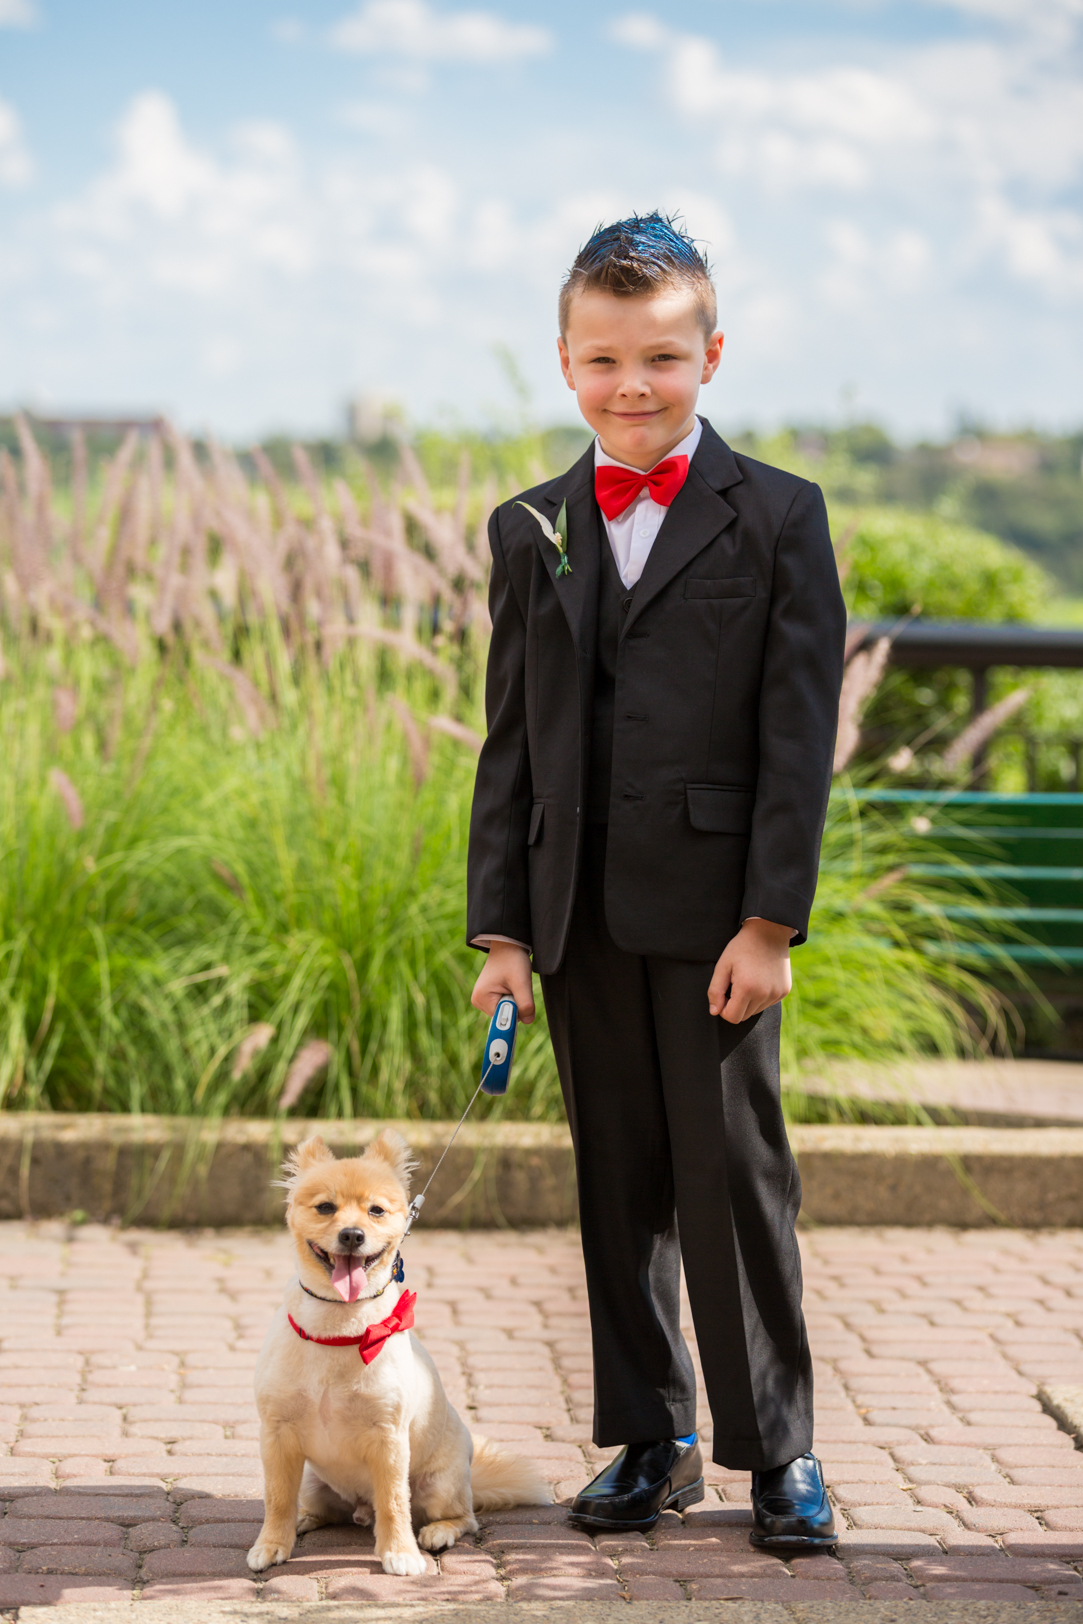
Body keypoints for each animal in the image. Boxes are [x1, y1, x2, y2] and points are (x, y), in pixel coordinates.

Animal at [246, 1130, 552, 1572]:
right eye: (325, 1207)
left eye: (376, 1210)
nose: (352, 1235)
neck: (341, 1326)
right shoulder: (277, 1435)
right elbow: (276, 1498)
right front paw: (272, 1543)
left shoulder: (388, 1438)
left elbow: (394, 1503)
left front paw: (400, 1553)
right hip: (312, 1481)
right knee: (319, 1508)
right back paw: (304, 1519)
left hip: (440, 1484)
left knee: (464, 1517)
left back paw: (438, 1532)